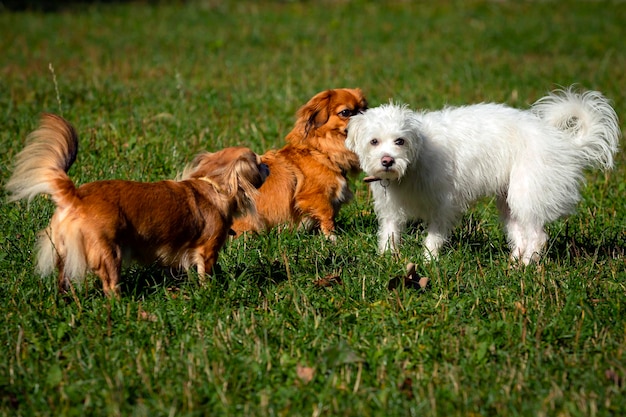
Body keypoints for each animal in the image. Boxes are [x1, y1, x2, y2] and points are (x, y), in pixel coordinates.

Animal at [5, 113, 268, 296]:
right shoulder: (207, 250)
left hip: (63, 252)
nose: (267, 165)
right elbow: (206, 273)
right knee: (110, 285)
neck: (214, 184)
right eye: (258, 162)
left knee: (63, 279)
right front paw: (209, 292)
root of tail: (74, 195)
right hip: (110, 252)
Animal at [229, 89, 366, 239]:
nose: (363, 114)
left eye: (365, 108)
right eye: (346, 112)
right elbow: (328, 215)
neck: (320, 152)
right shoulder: (315, 197)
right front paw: (331, 237)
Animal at [346, 88, 620, 264]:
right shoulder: (391, 209)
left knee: (537, 237)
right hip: (508, 204)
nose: (387, 160)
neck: (414, 161)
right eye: (374, 141)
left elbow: (434, 237)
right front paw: (386, 260)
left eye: (399, 141)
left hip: (525, 194)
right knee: (520, 236)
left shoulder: (444, 205)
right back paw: (512, 265)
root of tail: (563, 141)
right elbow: (390, 235)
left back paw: (525, 267)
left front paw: (427, 261)